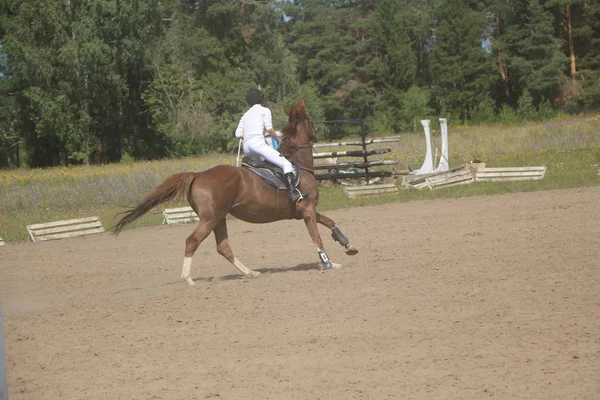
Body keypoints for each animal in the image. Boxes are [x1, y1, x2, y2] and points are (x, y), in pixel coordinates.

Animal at [112, 98, 356, 284]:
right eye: (310, 120)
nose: (318, 132)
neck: (299, 165)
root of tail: (198, 175)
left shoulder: (305, 211)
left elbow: (330, 223)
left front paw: (349, 246)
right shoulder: (306, 210)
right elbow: (317, 237)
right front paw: (328, 263)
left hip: (219, 218)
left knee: (223, 247)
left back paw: (250, 272)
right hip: (210, 218)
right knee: (192, 241)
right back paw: (188, 279)